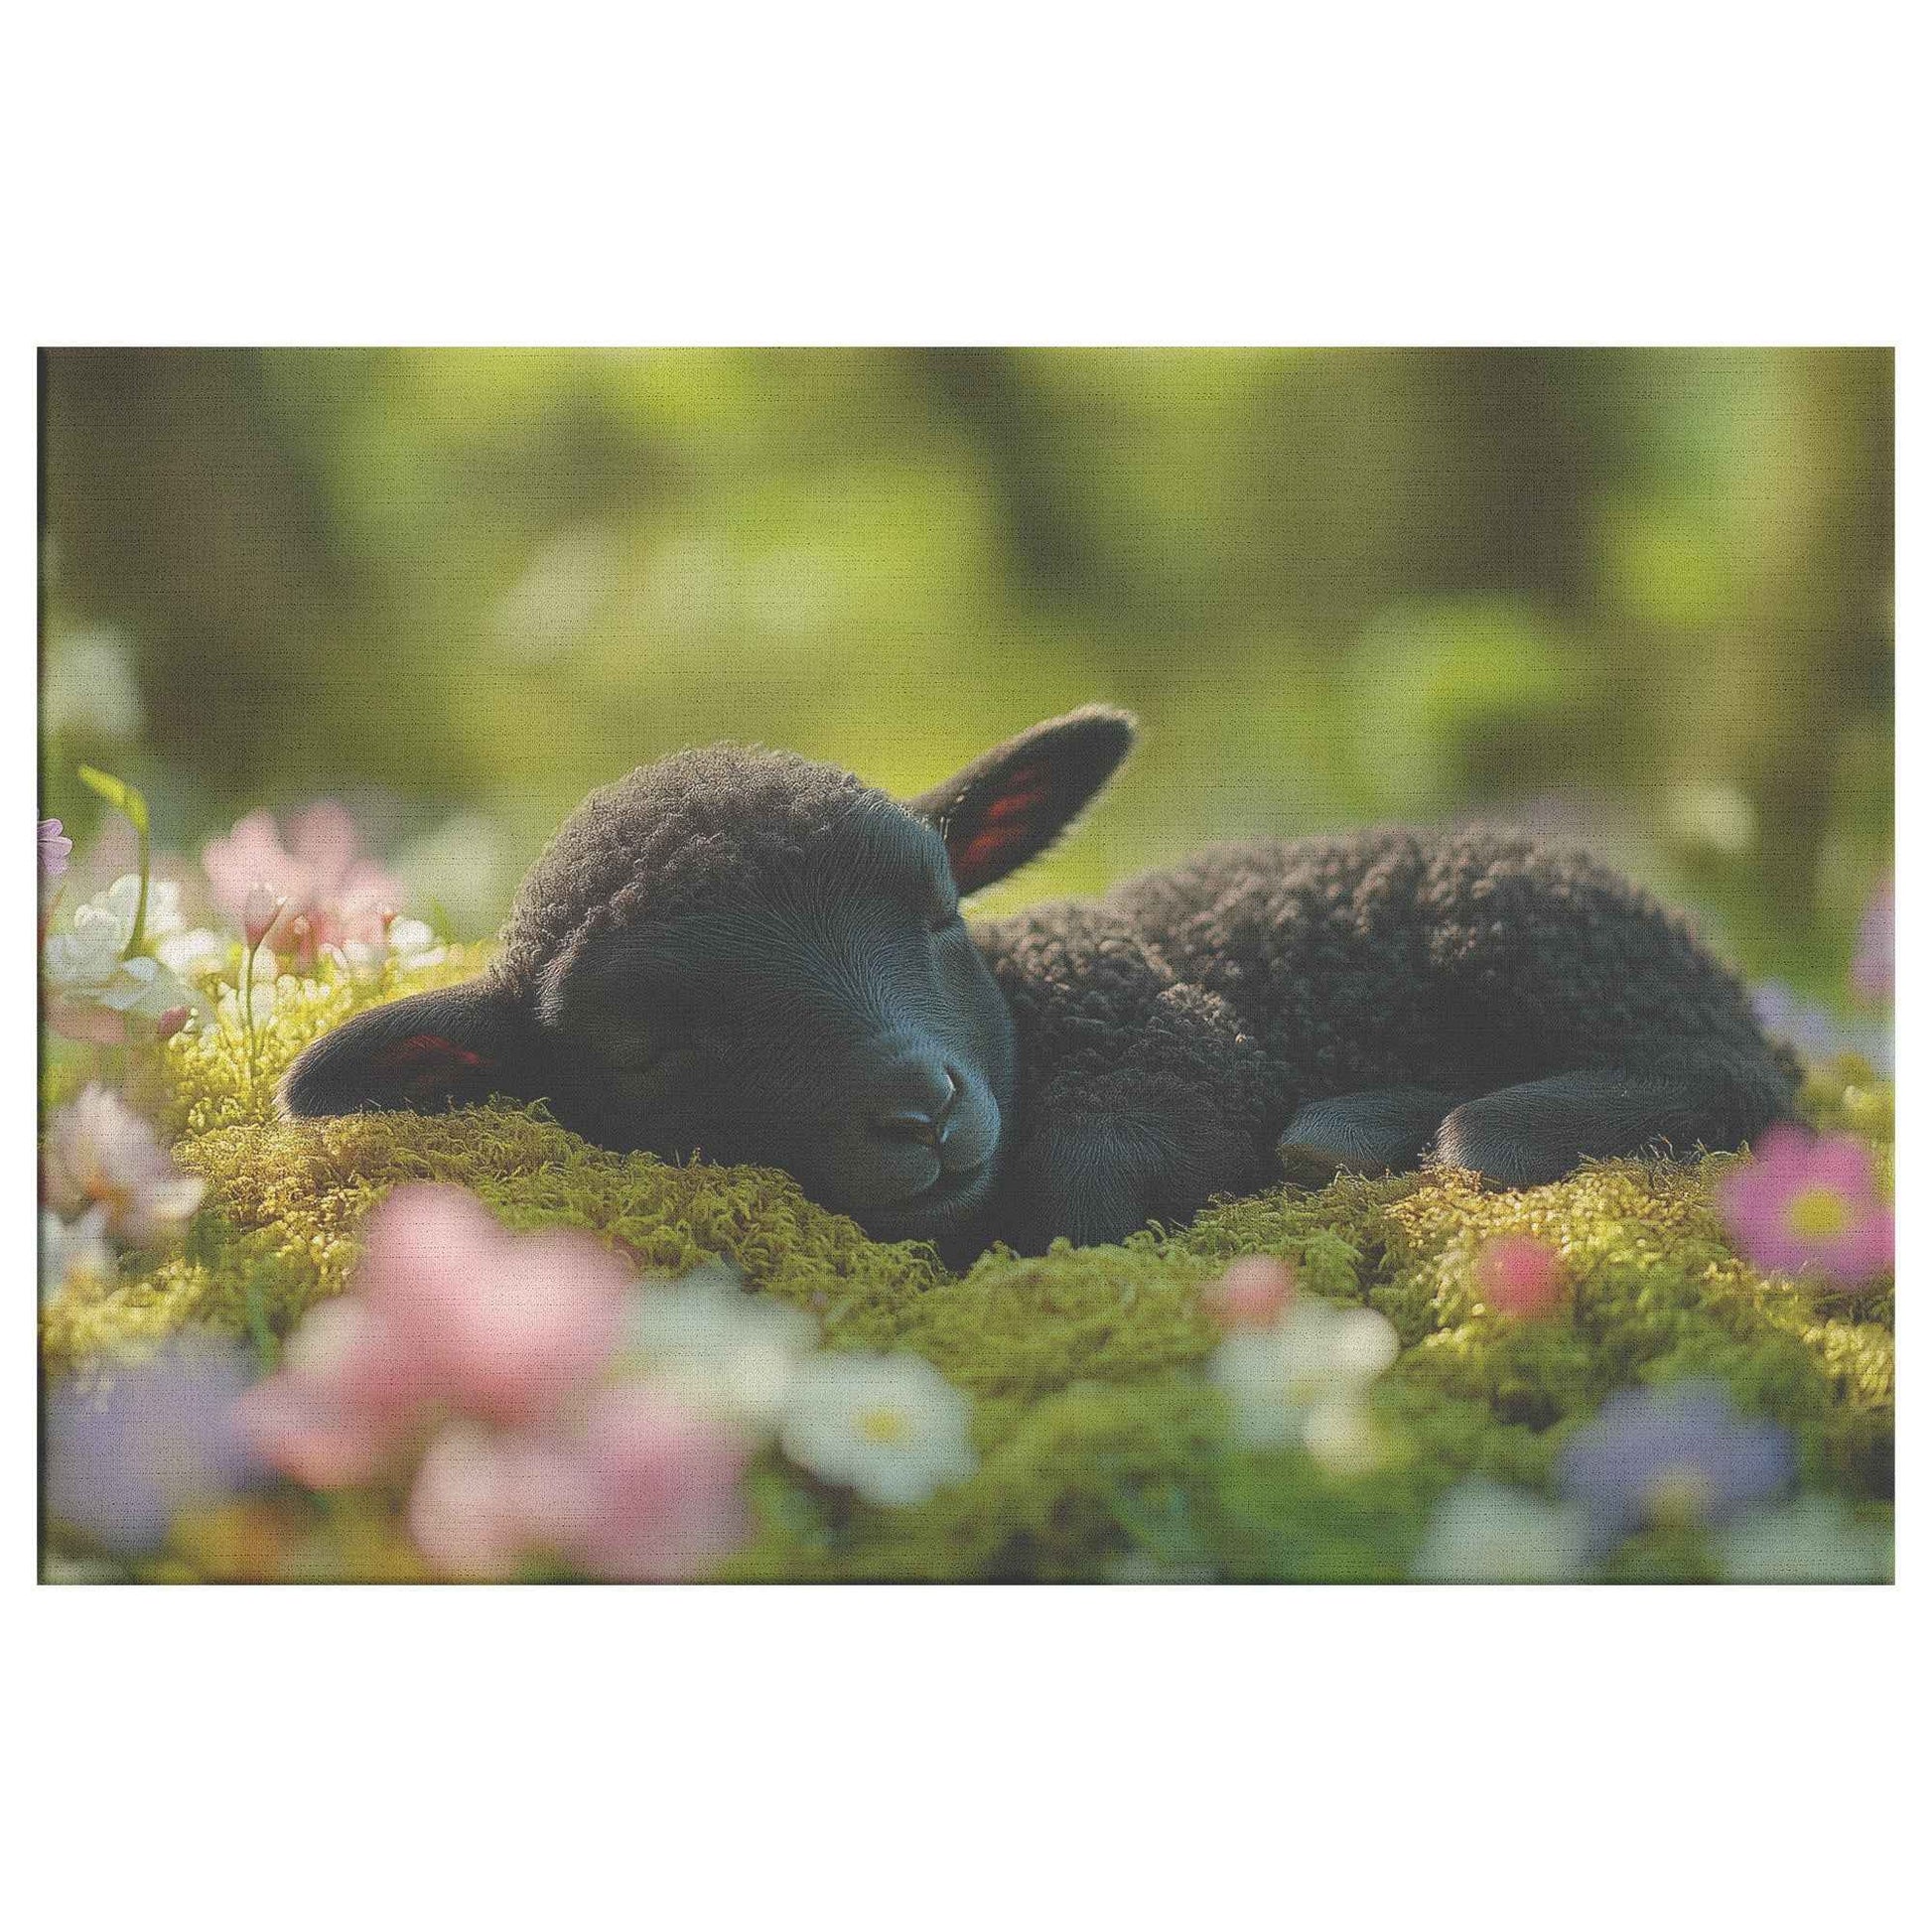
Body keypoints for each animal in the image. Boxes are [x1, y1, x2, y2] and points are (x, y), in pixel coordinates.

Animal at [281, 706, 1800, 1260]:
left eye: (937, 914)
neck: (1037, 1002)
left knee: (1741, 1074)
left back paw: (1410, 1126)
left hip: (1535, 940)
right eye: (647, 1044)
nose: (925, 1110)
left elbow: (1079, 1186)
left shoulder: (1184, 1047)